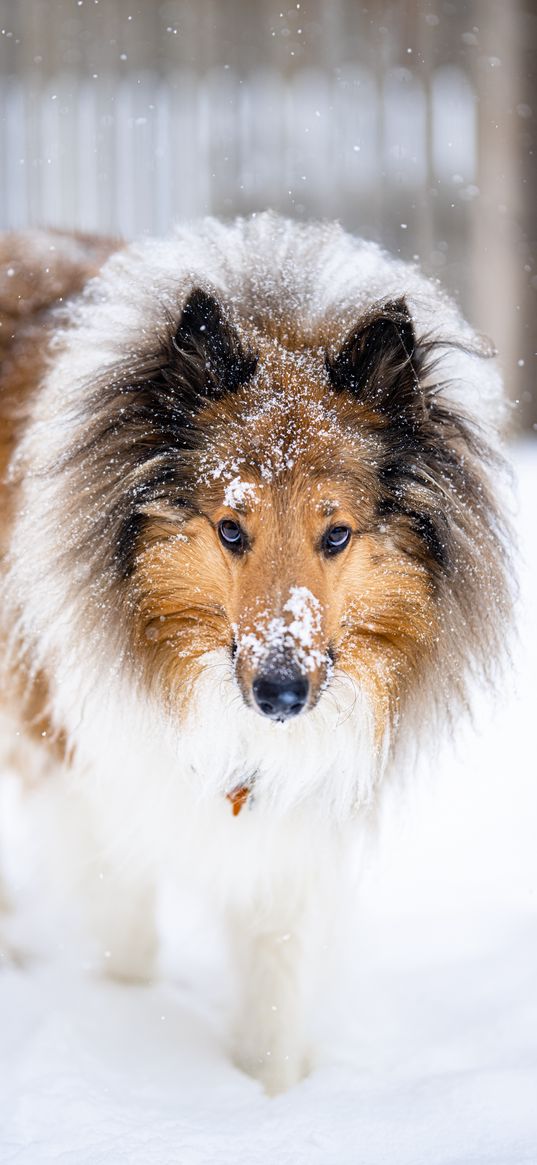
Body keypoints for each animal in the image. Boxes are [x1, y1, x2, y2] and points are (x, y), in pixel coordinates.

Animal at [0, 216, 507, 1090]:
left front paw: (270, 1094)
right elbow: (127, 938)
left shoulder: (295, 824)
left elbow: (275, 974)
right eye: (231, 529)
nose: (279, 694)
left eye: (335, 533)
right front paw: (121, 1030)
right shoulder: (83, 766)